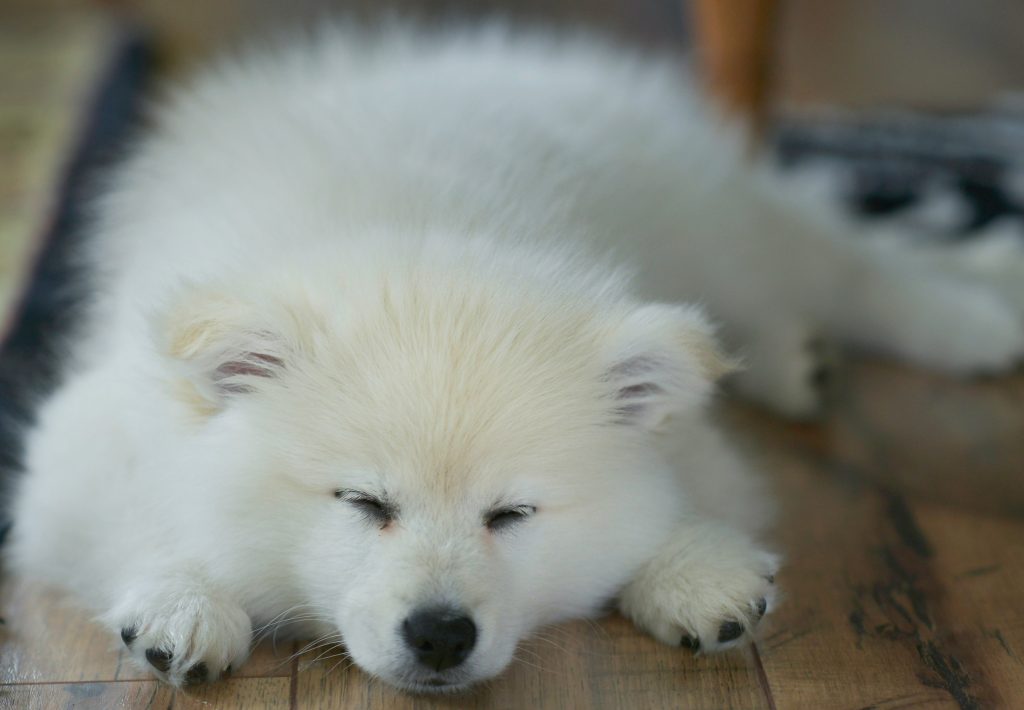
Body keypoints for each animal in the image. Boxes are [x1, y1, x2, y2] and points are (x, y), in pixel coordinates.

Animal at [9, 23, 1024, 692]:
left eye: (512, 514)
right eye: (365, 503)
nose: (440, 634)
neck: (420, 237)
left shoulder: (684, 436)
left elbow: (690, 491)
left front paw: (697, 572)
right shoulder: (76, 453)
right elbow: (138, 523)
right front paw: (182, 605)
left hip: (720, 225)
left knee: (849, 261)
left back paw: (969, 320)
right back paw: (806, 356)